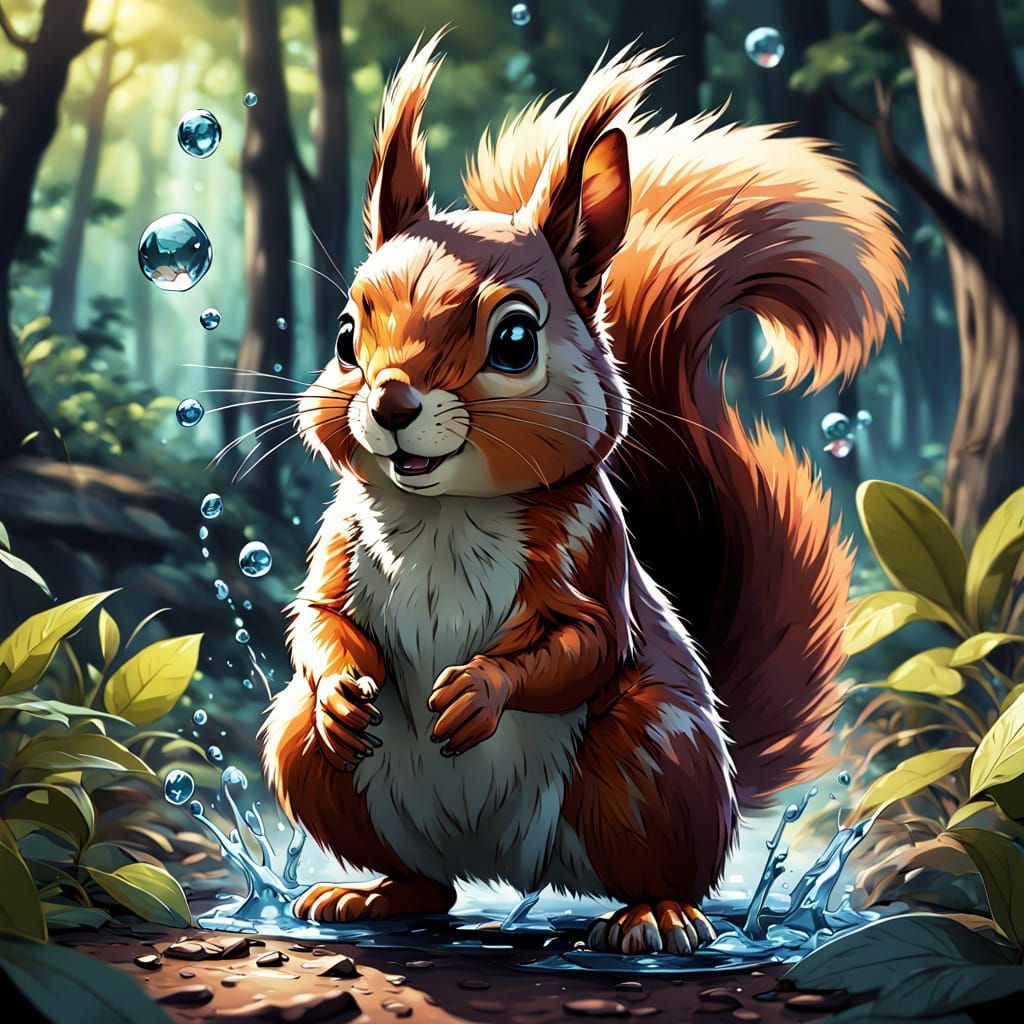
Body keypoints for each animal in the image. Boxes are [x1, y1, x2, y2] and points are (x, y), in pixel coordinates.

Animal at [261, 36, 906, 955]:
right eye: (348, 336)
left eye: (515, 340)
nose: (389, 404)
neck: (443, 510)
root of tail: (508, 870)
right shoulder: (342, 539)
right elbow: (318, 622)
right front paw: (344, 689)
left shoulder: (588, 550)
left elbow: (585, 644)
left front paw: (479, 689)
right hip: (314, 767)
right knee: (424, 880)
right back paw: (368, 893)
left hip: (653, 754)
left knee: (667, 868)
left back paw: (654, 918)